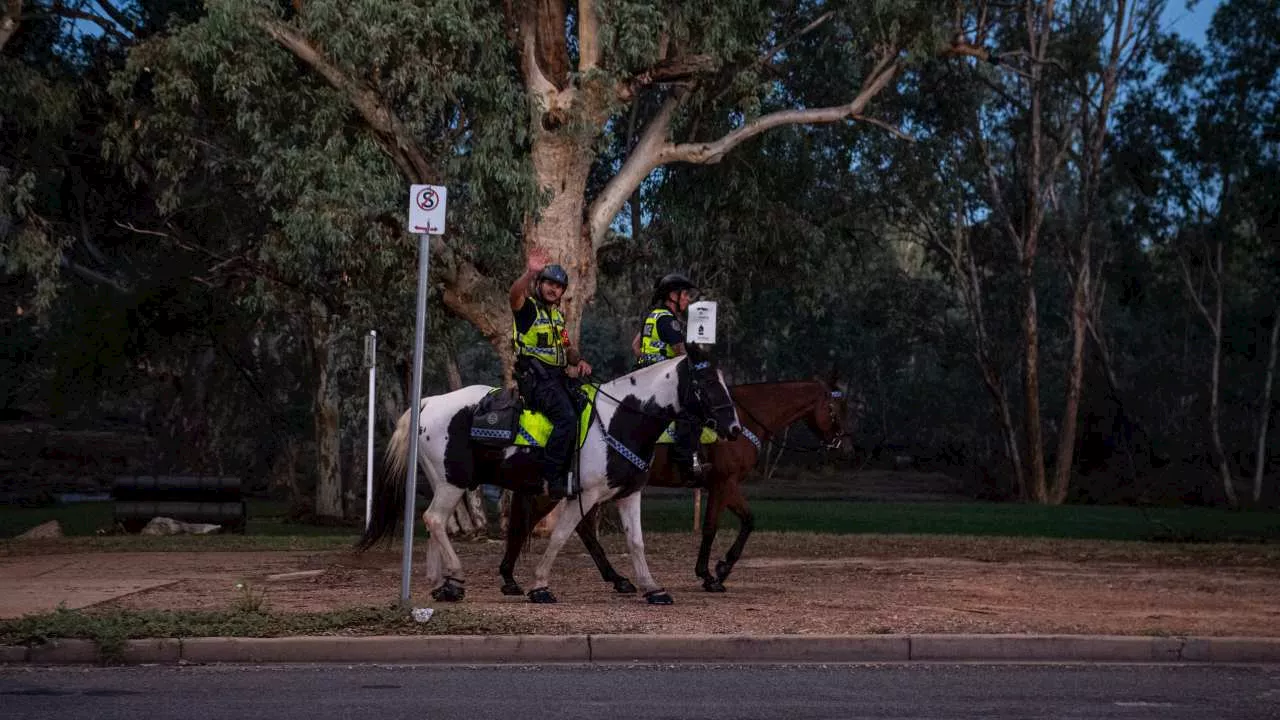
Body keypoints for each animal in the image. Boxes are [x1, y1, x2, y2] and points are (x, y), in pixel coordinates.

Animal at [358, 345, 742, 602]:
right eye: (706, 381)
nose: (734, 428)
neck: (619, 419)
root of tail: (428, 403)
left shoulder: (628, 493)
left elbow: (635, 541)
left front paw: (652, 588)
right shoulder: (584, 494)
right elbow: (560, 537)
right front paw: (540, 585)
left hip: (445, 482)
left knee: (434, 522)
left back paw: (444, 585)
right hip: (454, 483)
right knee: (435, 519)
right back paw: (457, 577)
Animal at [499, 371, 860, 591]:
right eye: (835, 408)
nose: (846, 447)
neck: (742, 420)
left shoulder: (724, 485)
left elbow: (748, 520)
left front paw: (722, 567)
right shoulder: (723, 483)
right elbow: (713, 526)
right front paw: (710, 574)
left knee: (581, 529)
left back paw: (616, 579)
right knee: (544, 522)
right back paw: (509, 575)